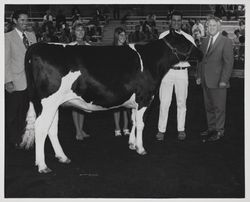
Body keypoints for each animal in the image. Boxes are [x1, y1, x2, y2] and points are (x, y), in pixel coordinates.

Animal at [20, 29, 203, 173]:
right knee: (41, 127)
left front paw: (132, 144)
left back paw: (62, 157)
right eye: (187, 41)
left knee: (51, 128)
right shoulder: (144, 98)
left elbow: (133, 121)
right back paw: (43, 165)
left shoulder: (135, 101)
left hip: (54, 104)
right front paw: (141, 148)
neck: (152, 61)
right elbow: (141, 124)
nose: (201, 53)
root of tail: (36, 47)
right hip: (48, 102)